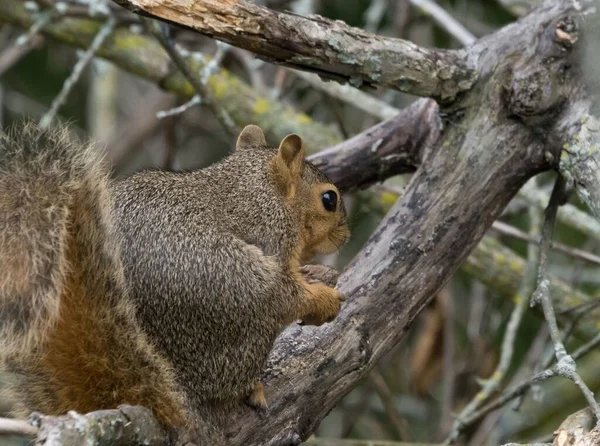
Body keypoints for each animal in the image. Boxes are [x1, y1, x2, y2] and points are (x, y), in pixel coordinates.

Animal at [0, 120, 352, 440]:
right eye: (329, 199)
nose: (346, 237)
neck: (260, 188)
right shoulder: (271, 236)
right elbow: (288, 294)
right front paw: (321, 298)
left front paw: (314, 273)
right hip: (234, 294)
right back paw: (249, 389)